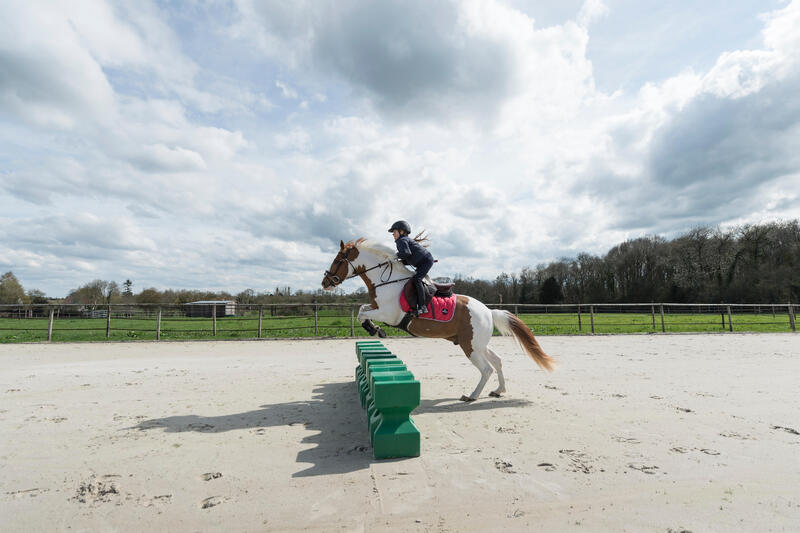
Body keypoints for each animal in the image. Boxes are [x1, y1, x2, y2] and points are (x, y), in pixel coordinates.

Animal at [322, 237, 552, 400]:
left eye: (337, 260)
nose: (325, 282)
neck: (385, 281)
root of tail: (488, 311)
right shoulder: (377, 308)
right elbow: (362, 309)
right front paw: (374, 328)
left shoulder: (389, 313)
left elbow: (362, 313)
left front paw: (375, 329)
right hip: (478, 343)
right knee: (497, 360)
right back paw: (499, 390)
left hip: (470, 346)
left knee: (486, 369)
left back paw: (472, 396)